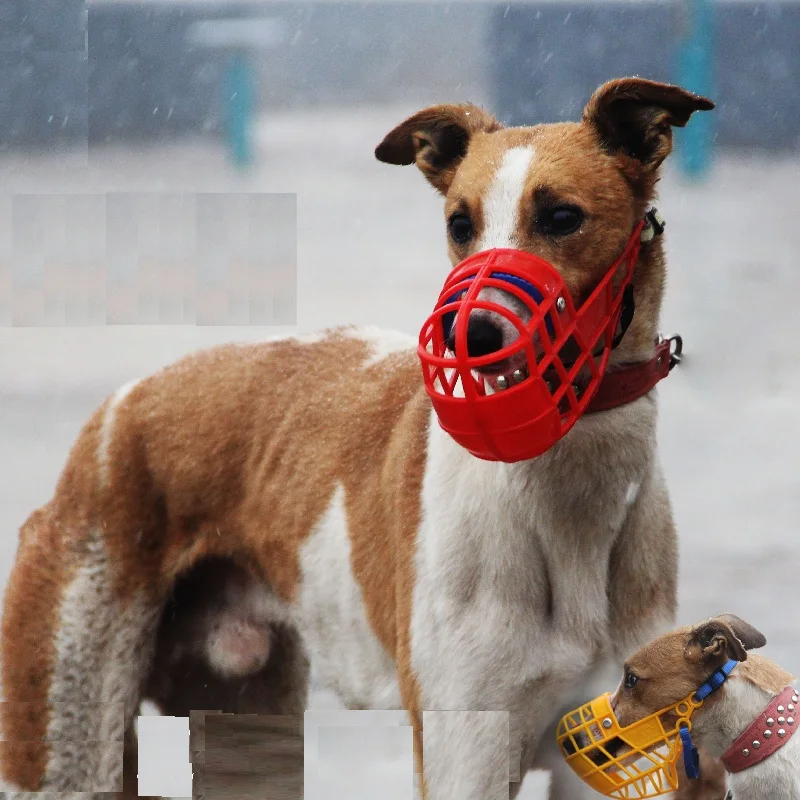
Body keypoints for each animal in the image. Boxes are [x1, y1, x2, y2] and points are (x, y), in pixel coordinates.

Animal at [0, 76, 712, 800]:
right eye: (459, 224)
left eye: (563, 217)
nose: (468, 333)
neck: (568, 499)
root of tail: (116, 413)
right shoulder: (467, 754)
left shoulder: (607, 759)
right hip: (65, 737)